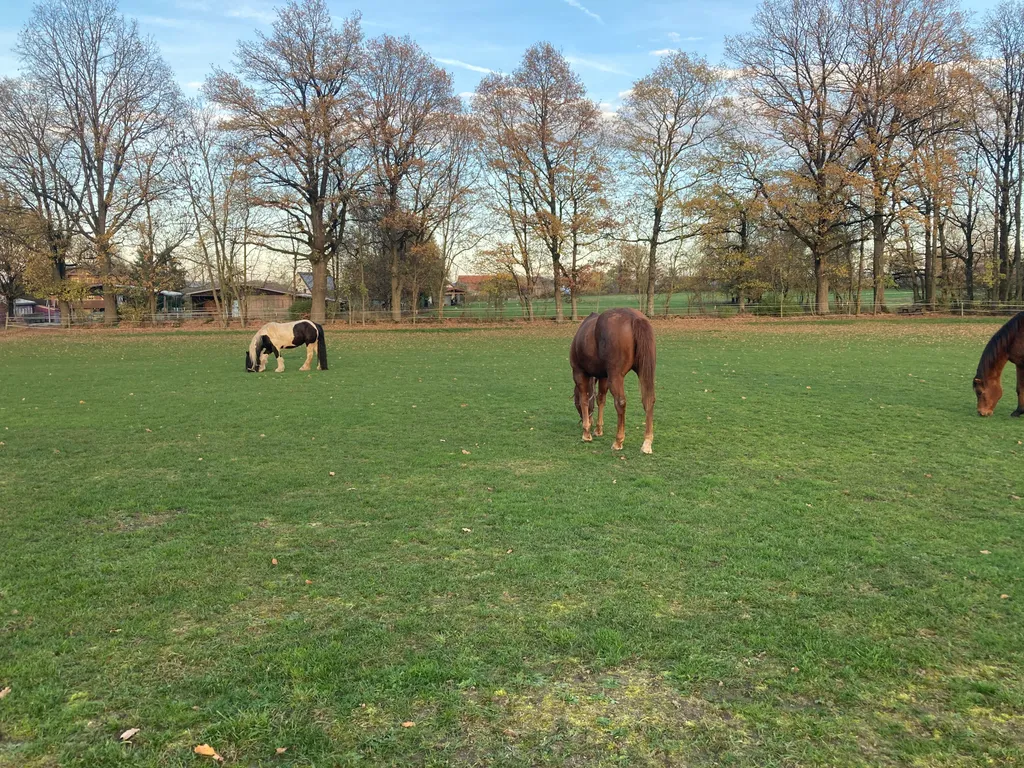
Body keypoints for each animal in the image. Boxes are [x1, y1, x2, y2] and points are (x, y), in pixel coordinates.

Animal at [570, 308, 656, 454]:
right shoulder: (604, 376)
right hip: (644, 373)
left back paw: (618, 441)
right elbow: (601, 399)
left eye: (575, 405)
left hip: (616, 376)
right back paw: (647, 442)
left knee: (620, 403)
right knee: (648, 400)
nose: (581, 420)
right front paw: (598, 429)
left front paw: (586, 433)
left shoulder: (579, 373)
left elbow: (584, 399)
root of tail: (635, 318)